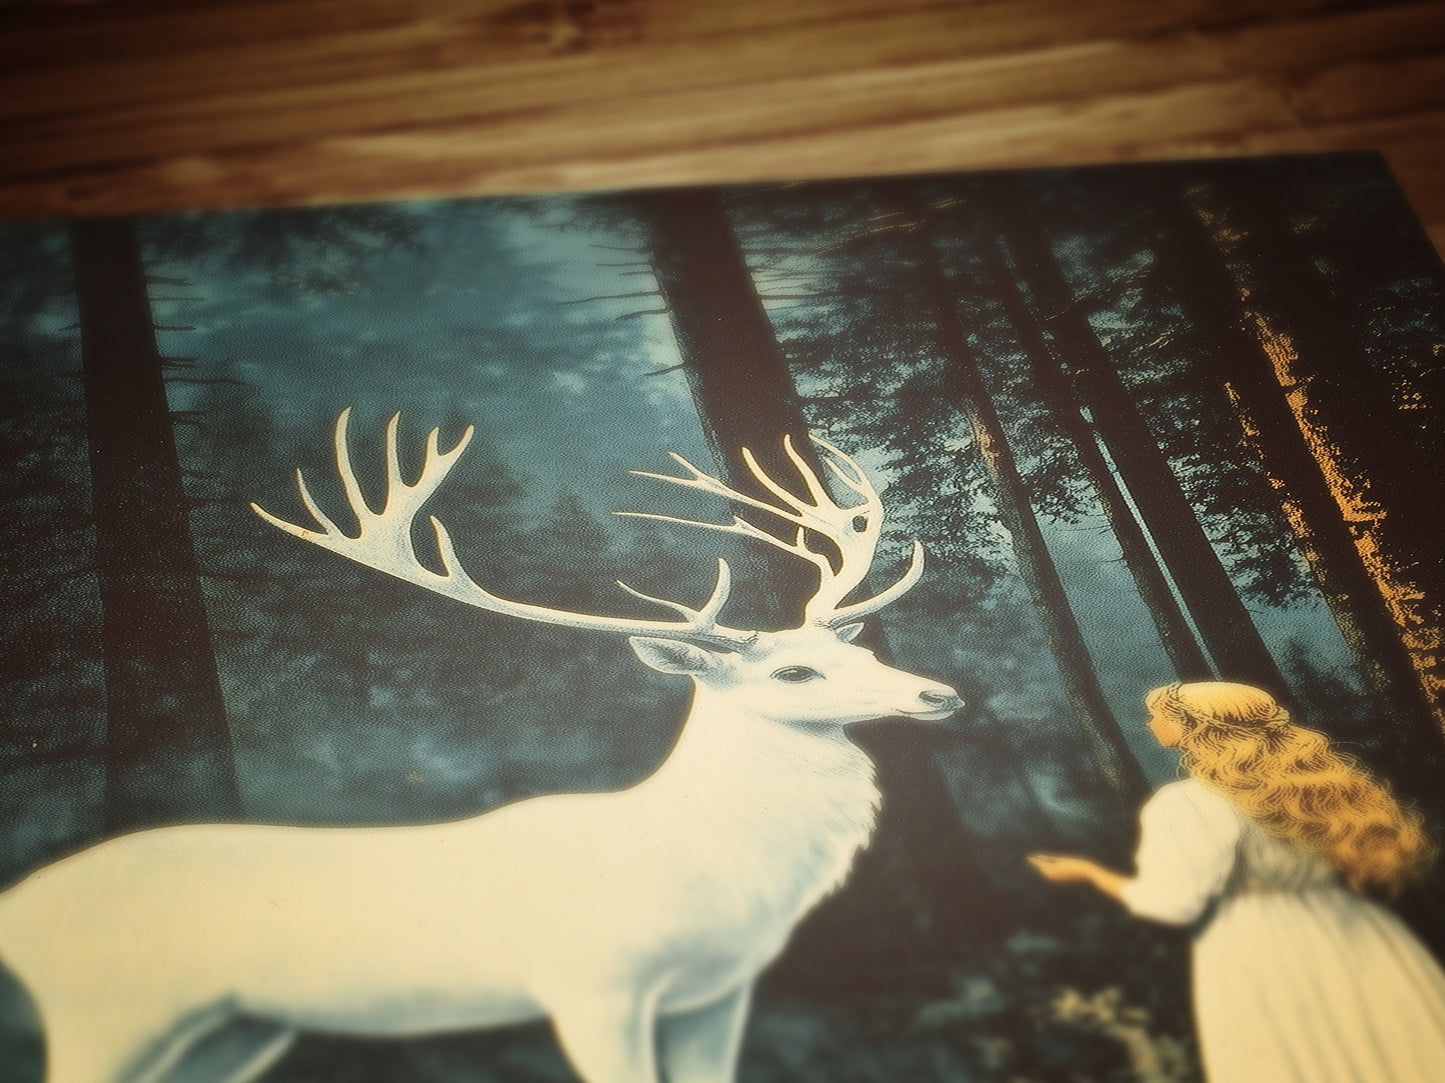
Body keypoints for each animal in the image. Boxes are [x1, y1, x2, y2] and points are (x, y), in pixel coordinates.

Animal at [0, 408, 962, 1083]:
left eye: (862, 653)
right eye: (795, 671)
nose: (940, 693)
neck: (709, 871)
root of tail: (21, 908)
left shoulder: (719, 993)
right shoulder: (593, 984)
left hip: (235, 1026)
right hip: (113, 1007)